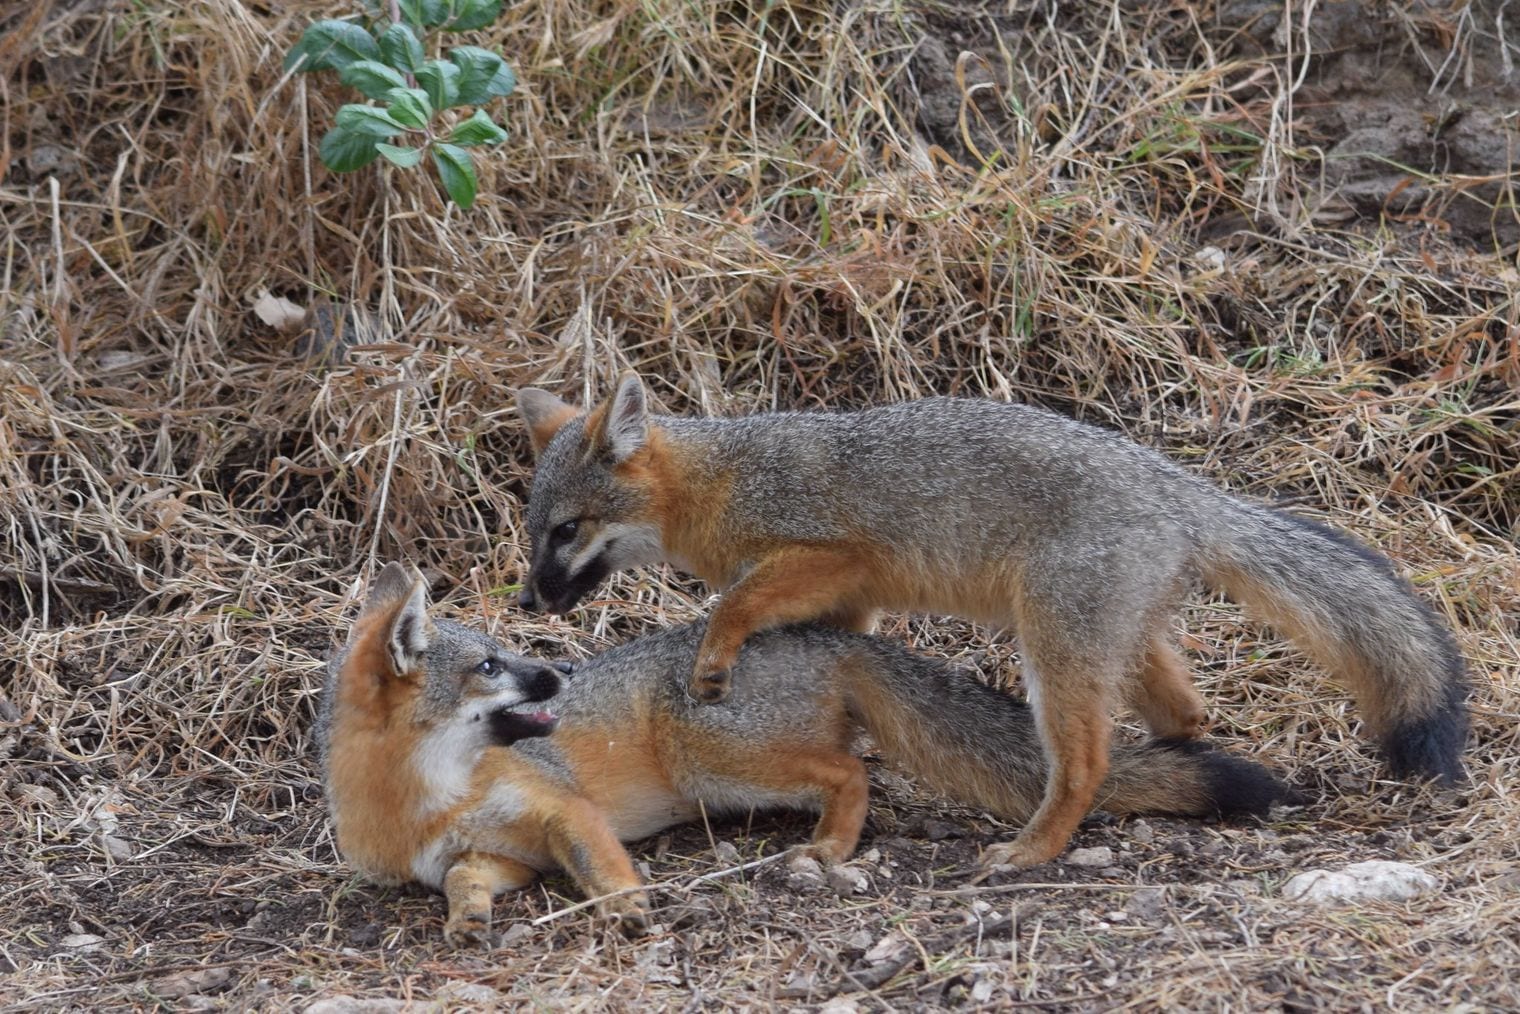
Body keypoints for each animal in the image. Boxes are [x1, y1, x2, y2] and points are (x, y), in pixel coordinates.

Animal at [317, 562, 1293, 945]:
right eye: (490, 667)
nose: (556, 671)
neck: (425, 797)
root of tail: (829, 636)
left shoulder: (564, 812)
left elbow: (603, 865)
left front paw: (631, 908)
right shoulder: (502, 851)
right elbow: (462, 877)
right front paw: (467, 918)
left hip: (712, 763)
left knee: (852, 771)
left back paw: (831, 845)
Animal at [514, 373, 1468, 868]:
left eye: (564, 532)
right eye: (534, 533)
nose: (526, 600)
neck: (720, 480)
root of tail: (1179, 487)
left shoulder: (831, 554)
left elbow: (737, 600)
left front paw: (714, 659)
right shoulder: (847, 597)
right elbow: (824, 636)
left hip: (1055, 655)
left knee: (1083, 767)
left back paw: (1033, 849)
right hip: (1114, 647)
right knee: (1185, 717)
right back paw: (1176, 780)